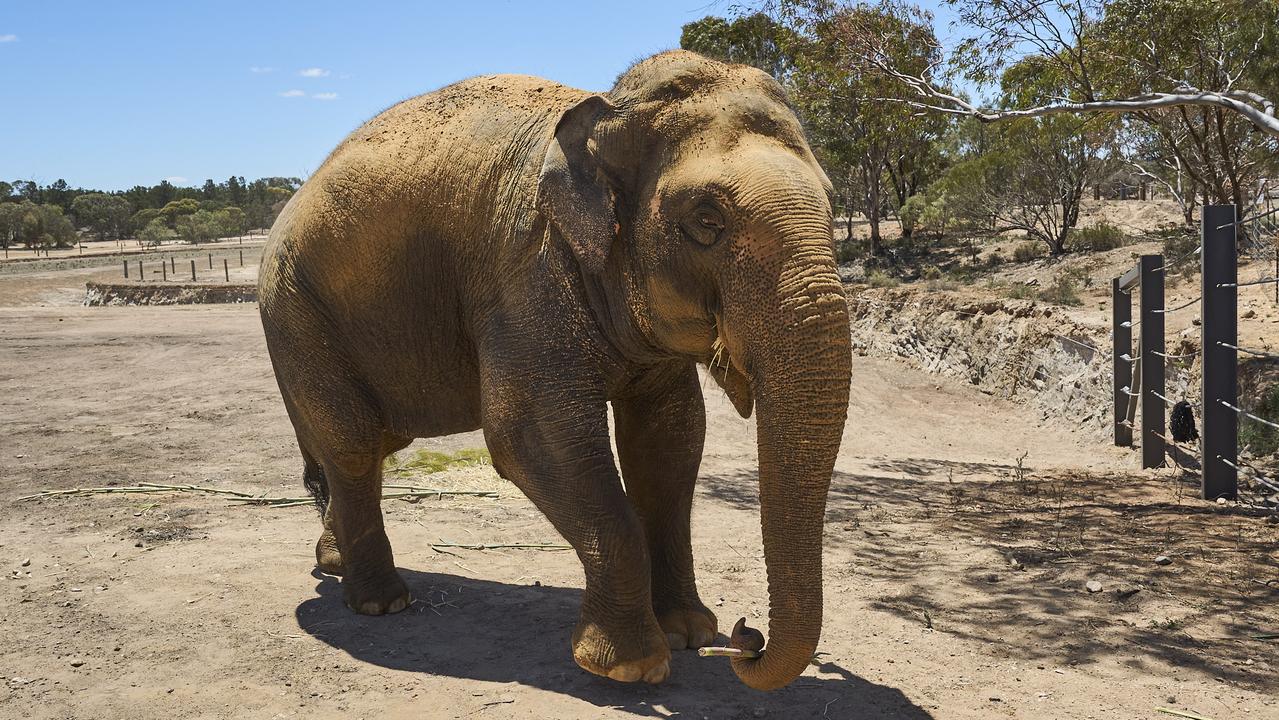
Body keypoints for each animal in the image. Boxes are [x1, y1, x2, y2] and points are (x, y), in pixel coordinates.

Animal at [257, 47, 849, 690]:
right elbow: (533, 436)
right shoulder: (526, 274)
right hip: (296, 314)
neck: (606, 109)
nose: (745, 638)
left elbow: (668, 441)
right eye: (706, 220)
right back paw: (382, 602)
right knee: (353, 444)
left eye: (832, 205)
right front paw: (631, 667)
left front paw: (690, 633)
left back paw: (335, 563)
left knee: (362, 445)